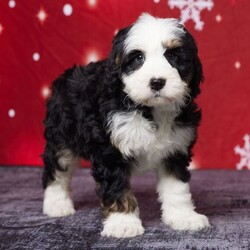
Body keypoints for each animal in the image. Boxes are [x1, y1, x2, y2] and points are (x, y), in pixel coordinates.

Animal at [42, 13, 209, 238]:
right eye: (138, 58)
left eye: (173, 56)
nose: (157, 82)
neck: (148, 109)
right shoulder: (109, 149)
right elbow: (117, 186)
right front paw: (123, 222)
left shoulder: (175, 149)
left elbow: (177, 187)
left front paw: (184, 217)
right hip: (62, 135)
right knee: (57, 168)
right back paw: (57, 204)